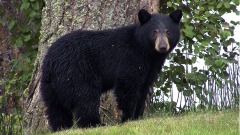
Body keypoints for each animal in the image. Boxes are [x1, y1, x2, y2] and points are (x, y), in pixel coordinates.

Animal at [39, 8, 182, 131]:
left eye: (168, 31)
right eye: (154, 32)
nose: (162, 47)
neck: (147, 52)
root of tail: (50, 62)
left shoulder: (150, 69)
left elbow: (143, 89)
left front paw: (138, 116)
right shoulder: (130, 59)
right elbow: (127, 86)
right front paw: (128, 118)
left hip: (50, 85)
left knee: (55, 108)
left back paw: (61, 127)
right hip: (77, 74)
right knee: (86, 98)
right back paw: (96, 124)